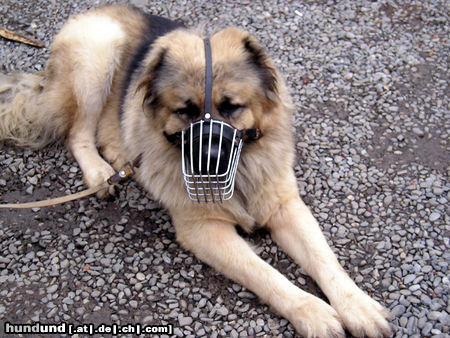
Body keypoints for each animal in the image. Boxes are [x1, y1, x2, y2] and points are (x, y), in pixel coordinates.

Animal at [0, 5, 390, 338]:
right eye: (185, 110)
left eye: (232, 107)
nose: (210, 154)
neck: (241, 170)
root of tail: (98, 11)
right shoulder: (204, 230)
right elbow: (265, 274)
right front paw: (311, 311)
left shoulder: (286, 207)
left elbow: (325, 260)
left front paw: (357, 306)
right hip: (98, 55)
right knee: (78, 132)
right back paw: (99, 172)